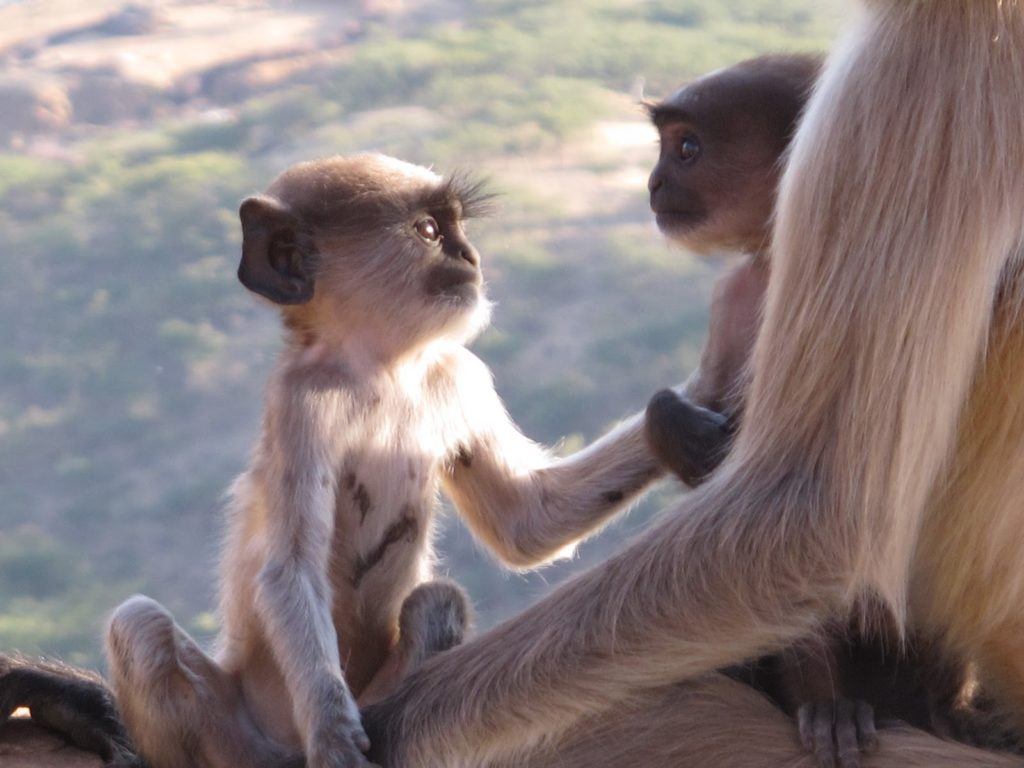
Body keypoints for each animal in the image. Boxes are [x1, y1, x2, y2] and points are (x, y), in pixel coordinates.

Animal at [101, 151, 663, 768]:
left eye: (457, 227)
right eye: (429, 231)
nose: (469, 257)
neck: (383, 371)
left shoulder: (457, 373)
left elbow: (529, 523)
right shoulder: (299, 400)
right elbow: (289, 568)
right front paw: (332, 732)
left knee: (438, 600)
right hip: (236, 729)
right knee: (140, 624)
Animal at [362, 3, 1024, 765]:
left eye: (686, 150)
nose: (652, 185)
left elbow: (809, 513)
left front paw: (389, 722)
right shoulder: (733, 292)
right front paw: (678, 427)